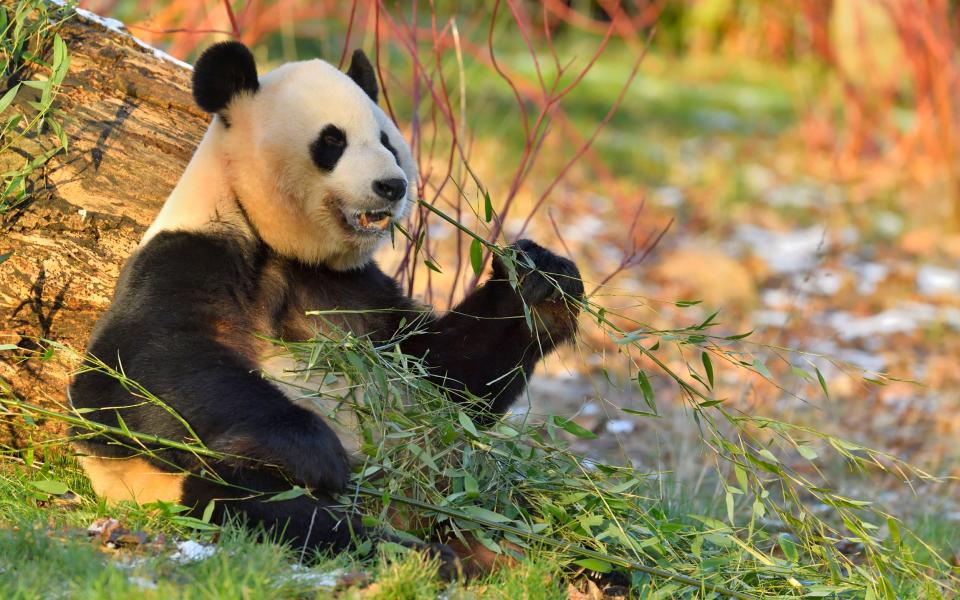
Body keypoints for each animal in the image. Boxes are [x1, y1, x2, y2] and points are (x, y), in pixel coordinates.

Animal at [69, 42, 584, 556]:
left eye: (387, 141)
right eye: (332, 141)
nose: (392, 185)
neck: (283, 246)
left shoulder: (356, 290)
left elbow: (444, 375)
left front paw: (541, 279)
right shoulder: (188, 254)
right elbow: (127, 377)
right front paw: (318, 454)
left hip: (474, 493)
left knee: (539, 514)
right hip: (185, 483)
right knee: (259, 503)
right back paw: (417, 551)